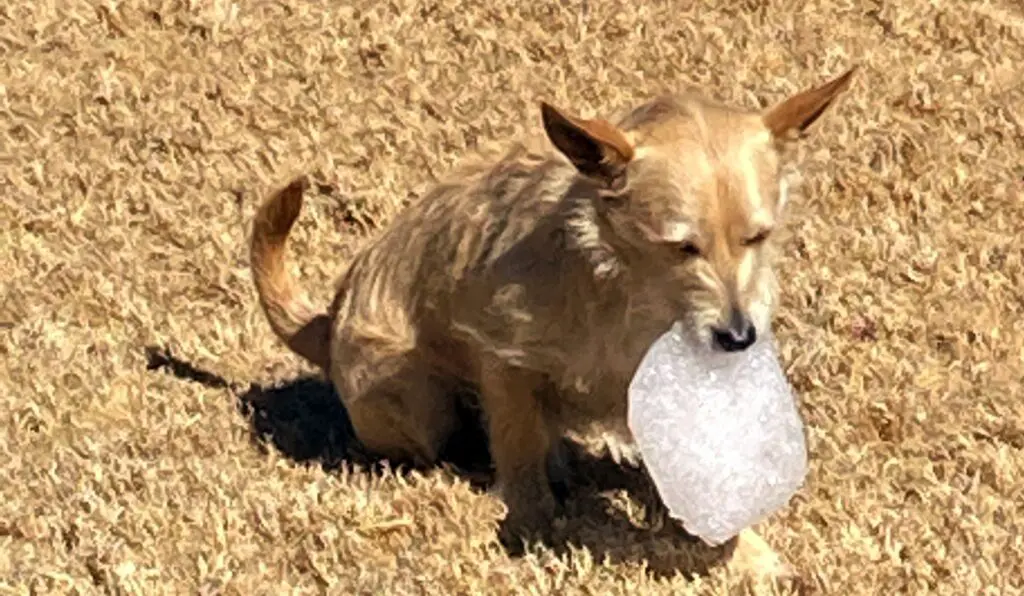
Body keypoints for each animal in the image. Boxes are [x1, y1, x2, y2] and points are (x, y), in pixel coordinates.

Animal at [247, 67, 856, 581]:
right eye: (681, 247)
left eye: (758, 236)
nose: (738, 337)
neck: (632, 297)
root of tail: (328, 322)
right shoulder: (503, 359)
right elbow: (517, 449)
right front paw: (531, 520)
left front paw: (746, 553)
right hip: (416, 401)